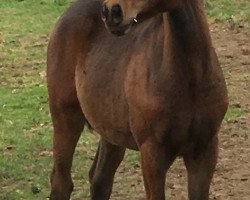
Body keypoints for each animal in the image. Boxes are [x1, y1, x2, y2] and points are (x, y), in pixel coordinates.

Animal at [47, 0, 229, 198]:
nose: (110, 11)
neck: (190, 78)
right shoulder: (152, 153)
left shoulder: (205, 150)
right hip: (65, 118)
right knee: (62, 183)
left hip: (111, 132)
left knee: (100, 179)